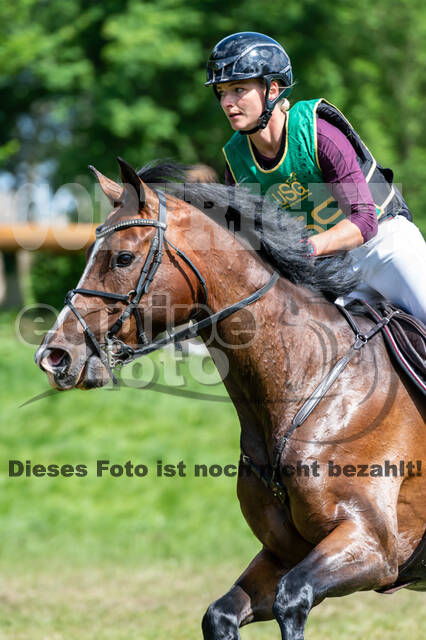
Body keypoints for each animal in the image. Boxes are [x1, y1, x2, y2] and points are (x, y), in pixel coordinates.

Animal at [36, 158, 425, 639]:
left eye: (122, 257)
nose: (53, 356)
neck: (305, 380)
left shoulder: (373, 545)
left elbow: (292, 599)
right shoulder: (283, 554)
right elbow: (221, 613)